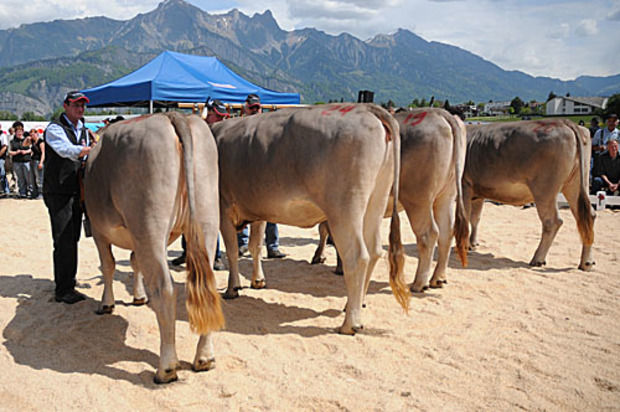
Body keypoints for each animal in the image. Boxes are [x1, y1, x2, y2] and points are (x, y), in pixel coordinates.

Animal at [84, 112, 224, 384]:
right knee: (207, 285)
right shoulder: (136, 239)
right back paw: (205, 358)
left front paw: (107, 303)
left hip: (149, 224)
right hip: (207, 218)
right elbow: (134, 261)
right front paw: (138, 296)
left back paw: (166, 368)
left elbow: (108, 265)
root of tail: (172, 115)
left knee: (164, 289)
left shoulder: (98, 231)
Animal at [211, 103, 409, 335]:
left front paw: (232, 288)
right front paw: (258, 280)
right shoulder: (258, 210)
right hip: (376, 201)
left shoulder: (223, 207)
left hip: (345, 209)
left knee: (358, 256)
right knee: (375, 250)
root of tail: (366, 108)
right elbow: (255, 246)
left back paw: (350, 323)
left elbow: (233, 251)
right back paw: (355, 304)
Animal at [311, 108, 469, 293]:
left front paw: (334, 264)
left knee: (429, 234)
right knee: (446, 232)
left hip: (418, 199)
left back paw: (419, 283)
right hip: (446, 196)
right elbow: (324, 229)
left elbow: (326, 230)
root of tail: (441, 113)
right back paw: (438, 278)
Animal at [463, 119, 595, 270]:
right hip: (577, 183)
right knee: (587, 216)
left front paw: (464, 246)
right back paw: (586, 262)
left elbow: (465, 218)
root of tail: (563, 122)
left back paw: (538, 259)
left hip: (544, 189)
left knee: (553, 221)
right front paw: (473, 243)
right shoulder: (478, 193)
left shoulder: (464, 187)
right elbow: (475, 218)